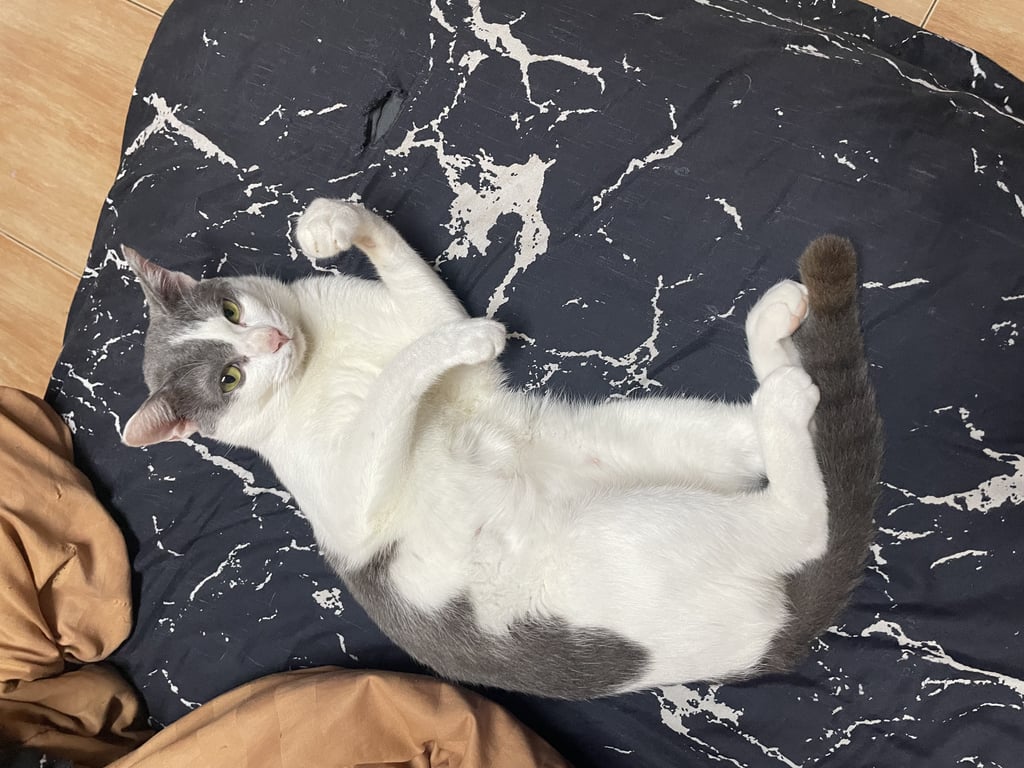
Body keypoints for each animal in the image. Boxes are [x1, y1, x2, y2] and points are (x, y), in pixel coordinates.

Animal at [121, 198, 883, 698]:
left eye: (232, 312)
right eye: (229, 377)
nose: (272, 341)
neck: (326, 353)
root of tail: (776, 641)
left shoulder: (429, 324)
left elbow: (404, 272)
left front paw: (330, 222)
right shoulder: (354, 507)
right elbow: (394, 388)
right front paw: (473, 337)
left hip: (657, 435)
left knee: (789, 432)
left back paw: (779, 328)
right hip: (638, 534)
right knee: (799, 520)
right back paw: (786, 396)